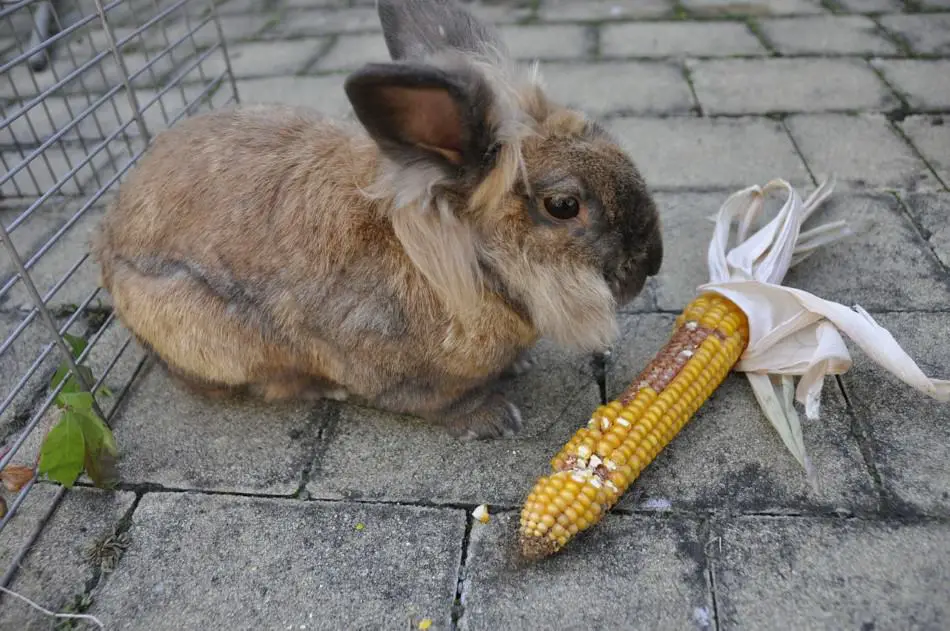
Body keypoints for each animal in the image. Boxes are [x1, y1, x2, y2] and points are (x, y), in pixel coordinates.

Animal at [93, 0, 664, 440]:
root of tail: (106, 247)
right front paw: (494, 418)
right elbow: (438, 403)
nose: (652, 262)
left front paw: (518, 367)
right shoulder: (398, 372)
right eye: (563, 205)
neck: (463, 266)